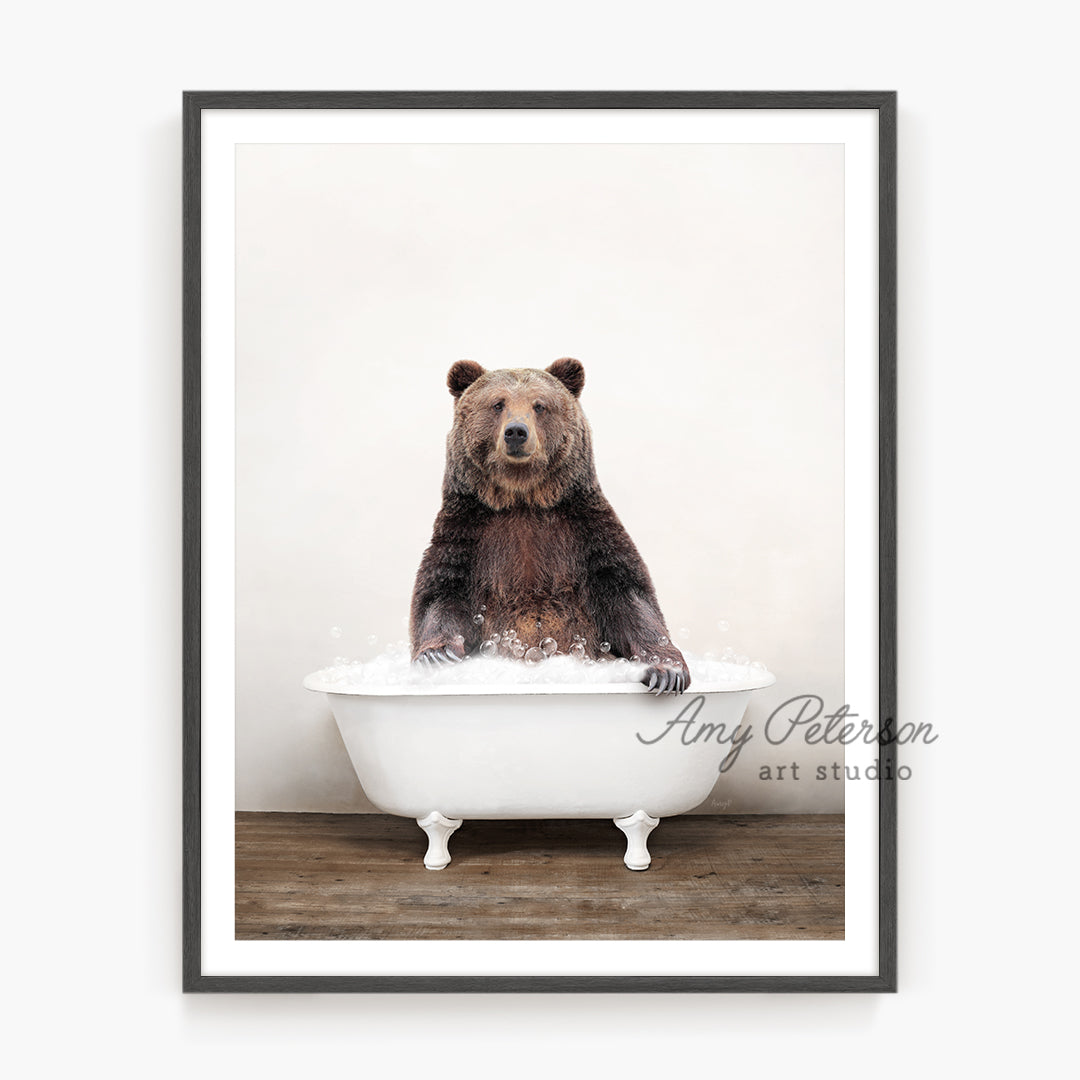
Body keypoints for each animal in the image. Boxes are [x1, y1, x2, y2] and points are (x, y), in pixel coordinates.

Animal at [408, 354, 686, 691]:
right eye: (498, 403)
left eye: (539, 405)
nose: (516, 431)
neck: (523, 498)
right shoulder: (468, 531)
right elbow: (440, 593)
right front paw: (437, 655)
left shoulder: (584, 529)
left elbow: (629, 594)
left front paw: (666, 671)